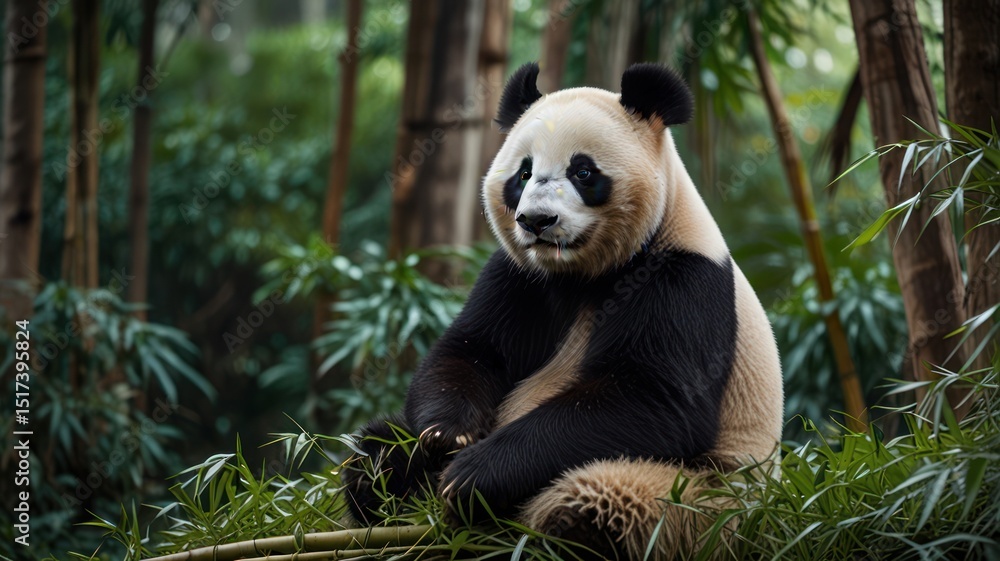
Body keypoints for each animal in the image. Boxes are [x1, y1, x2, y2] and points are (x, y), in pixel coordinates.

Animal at [342, 62, 783, 559]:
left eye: (583, 171)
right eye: (523, 173)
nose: (536, 221)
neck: (585, 273)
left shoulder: (684, 281)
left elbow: (655, 398)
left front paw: (473, 475)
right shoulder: (520, 276)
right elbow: (473, 350)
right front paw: (446, 435)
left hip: (706, 501)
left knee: (607, 495)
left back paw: (557, 530)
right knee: (377, 444)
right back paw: (385, 484)